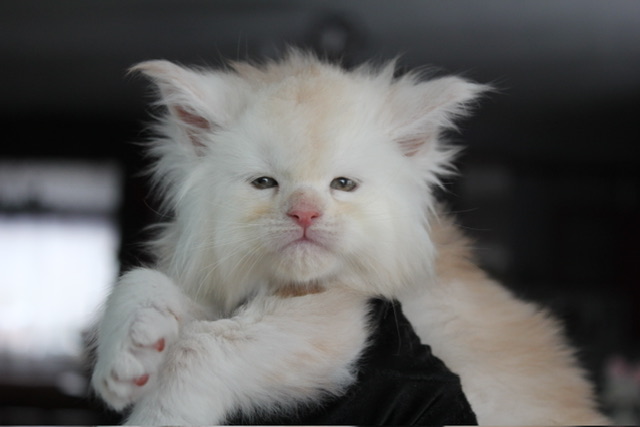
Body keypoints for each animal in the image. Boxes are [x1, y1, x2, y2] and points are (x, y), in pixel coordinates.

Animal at [91, 50, 608, 425]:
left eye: (343, 185)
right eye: (265, 183)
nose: (305, 212)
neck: (293, 287)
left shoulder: (341, 320)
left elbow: (199, 348)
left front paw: (158, 416)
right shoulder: (224, 290)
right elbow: (143, 283)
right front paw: (130, 353)